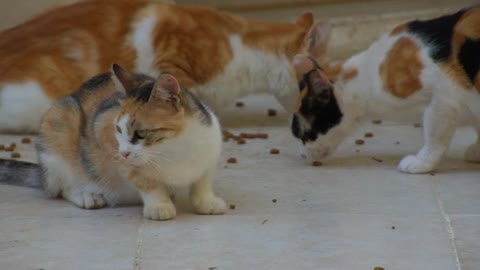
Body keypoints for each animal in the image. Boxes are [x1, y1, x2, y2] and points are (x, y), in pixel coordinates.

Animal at [0, 64, 227, 220]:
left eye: (141, 133)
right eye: (118, 129)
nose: (124, 153)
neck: (175, 149)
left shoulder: (212, 147)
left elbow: (202, 181)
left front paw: (207, 202)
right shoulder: (103, 129)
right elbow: (146, 181)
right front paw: (159, 205)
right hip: (59, 125)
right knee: (60, 187)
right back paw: (86, 195)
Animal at [290, 6, 480, 175]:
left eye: (304, 135)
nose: (302, 154)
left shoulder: (444, 96)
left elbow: (435, 135)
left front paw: (422, 162)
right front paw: (477, 150)